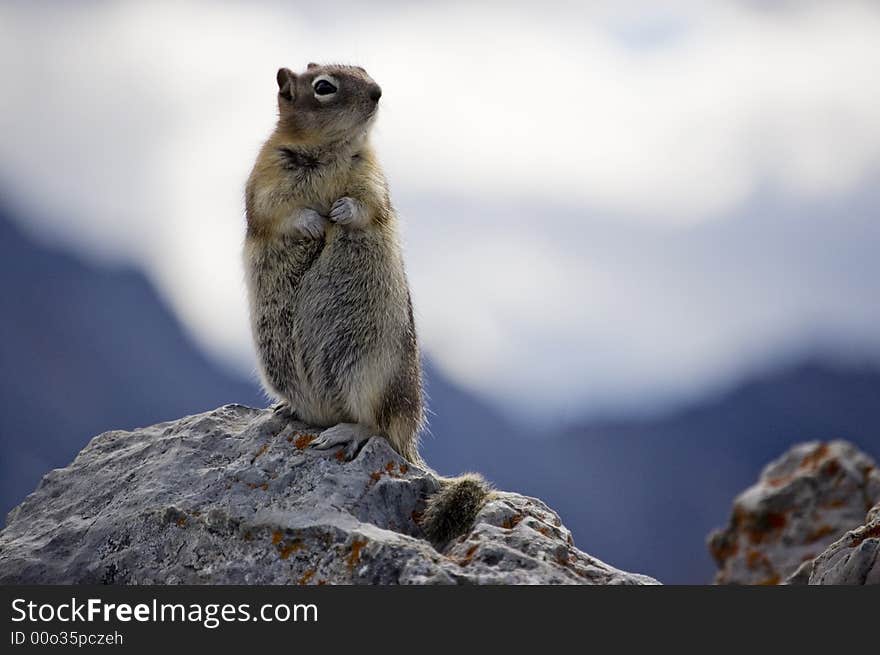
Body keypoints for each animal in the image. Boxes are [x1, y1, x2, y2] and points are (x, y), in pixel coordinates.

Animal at [242, 61, 488, 544]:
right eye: (323, 87)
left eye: (363, 70)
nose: (377, 92)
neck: (327, 152)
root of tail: (408, 439)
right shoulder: (265, 174)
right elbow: (273, 211)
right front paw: (312, 220)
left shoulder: (373, 176)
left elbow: (369, 205)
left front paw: (339, 213)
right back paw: (290, 410)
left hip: (368, 373)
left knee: (376, 426)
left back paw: (345, 432)